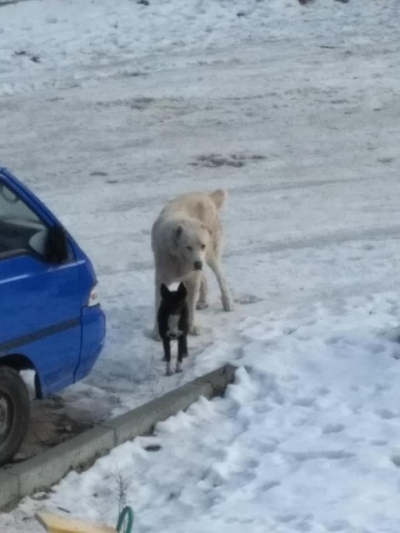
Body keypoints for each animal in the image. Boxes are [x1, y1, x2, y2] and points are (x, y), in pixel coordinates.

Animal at [151, 189, 233, 336]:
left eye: (203, 246)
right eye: (188, 247)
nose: (198, 264)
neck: (178, 258)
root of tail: (206, 196)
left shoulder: (192, 279)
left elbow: (190, 305)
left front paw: (192, 328)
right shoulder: (161, 279)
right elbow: (158, 304)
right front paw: (157, 332)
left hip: (210, 256)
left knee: (220, 277)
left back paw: (227, 302)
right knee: (204, 278)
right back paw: (202, 301)